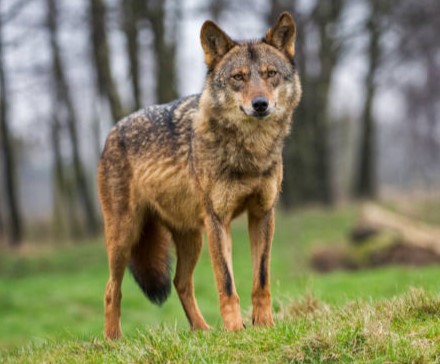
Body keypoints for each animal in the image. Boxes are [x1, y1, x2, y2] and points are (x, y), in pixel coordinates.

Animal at [97, 11, 300, 340]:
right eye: (238, 77)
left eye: (271, 74)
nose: (260, 104)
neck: (250, 150)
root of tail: (112, 132)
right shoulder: (218, 220)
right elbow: (227, 283)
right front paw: (235, 330)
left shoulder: (263, 214)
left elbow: (261, 279)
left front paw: (264, 325)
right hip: (124, 237)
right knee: (111, 289)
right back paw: (113, 340)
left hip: (192, 238)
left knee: (180, 282)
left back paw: (202, 330)